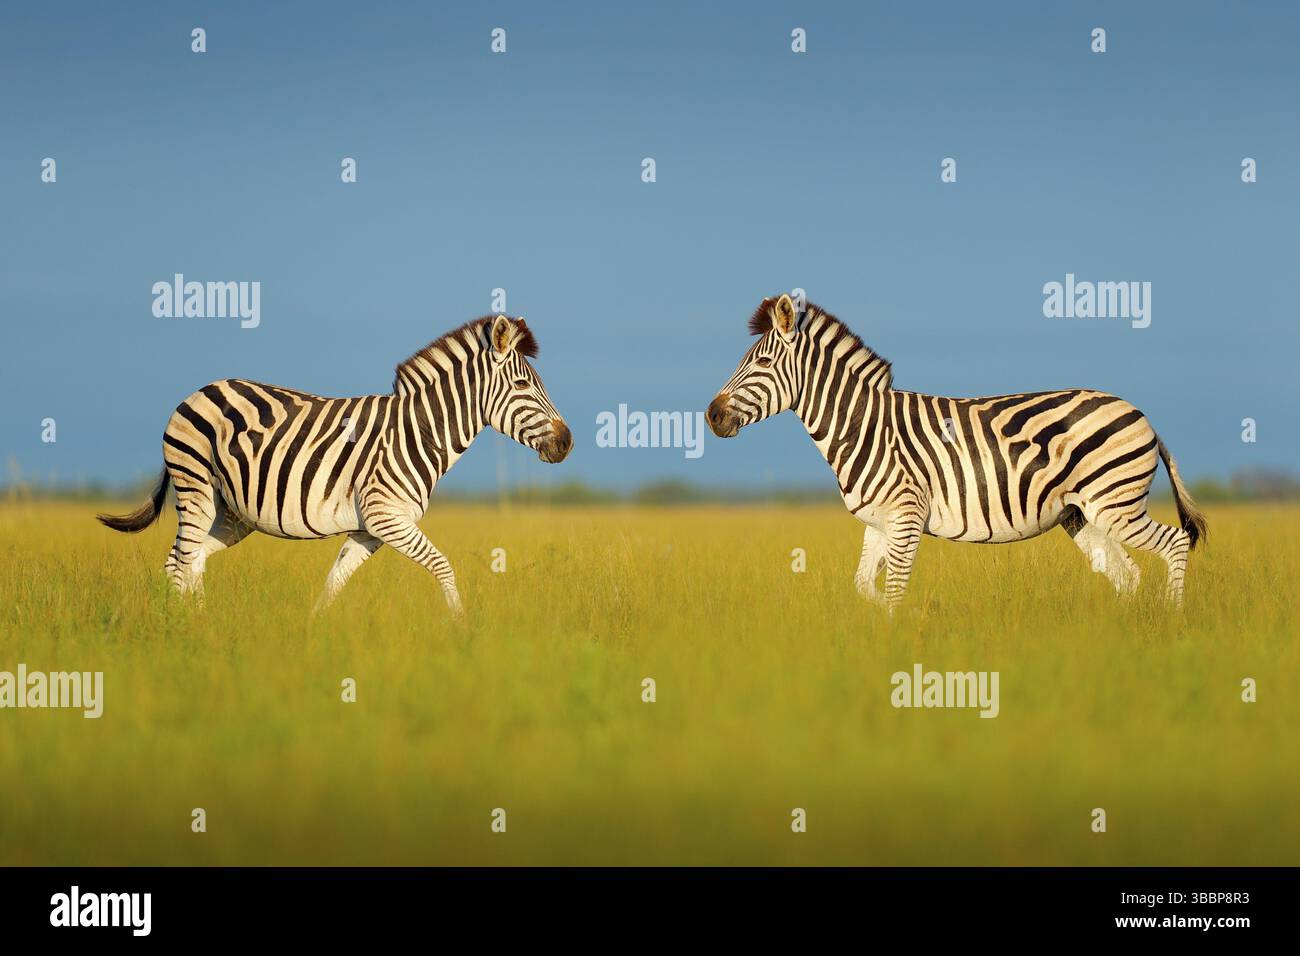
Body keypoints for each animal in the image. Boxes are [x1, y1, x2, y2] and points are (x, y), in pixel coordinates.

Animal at [98, 314, 572, 617]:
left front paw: (314, 634)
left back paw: (201, 622)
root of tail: (196, 391)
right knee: (178, 562)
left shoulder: (368, 530)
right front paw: (462, 631)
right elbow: (443, 566)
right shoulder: (386, 517)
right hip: (194, 484)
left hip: (231, 511)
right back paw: (183, 630)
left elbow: (334, 583)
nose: (567, 442)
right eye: (522, 384)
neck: (419, 431)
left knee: (192, 560)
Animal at [706, 294, 1207, 610]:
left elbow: (893, 592)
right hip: (1084, 514)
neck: (863, 426)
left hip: (1116, 504)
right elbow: (865, 587)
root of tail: (1142, 414)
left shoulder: (906, 517)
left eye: (762, 362)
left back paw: (1173, 619)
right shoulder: (878, 524)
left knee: (1175, 542)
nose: (711, 415)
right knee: (1129, 577)